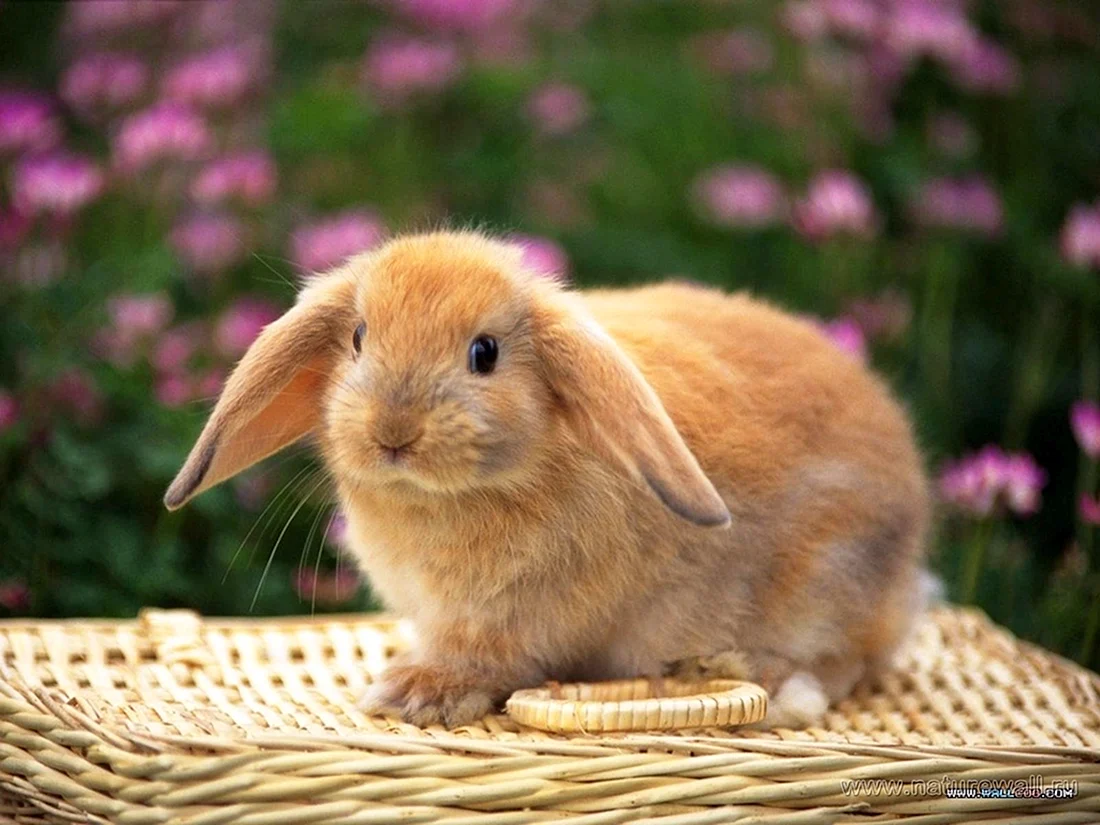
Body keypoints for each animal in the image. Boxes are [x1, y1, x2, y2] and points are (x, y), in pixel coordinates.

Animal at [165, 229, 930, 729]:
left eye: (485, 353)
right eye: (358, 339)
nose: (393, 431)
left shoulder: (515, 625)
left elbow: (492, 662)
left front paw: (416, 692)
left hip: (825, 583)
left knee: (850, 663)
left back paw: (767, 681)